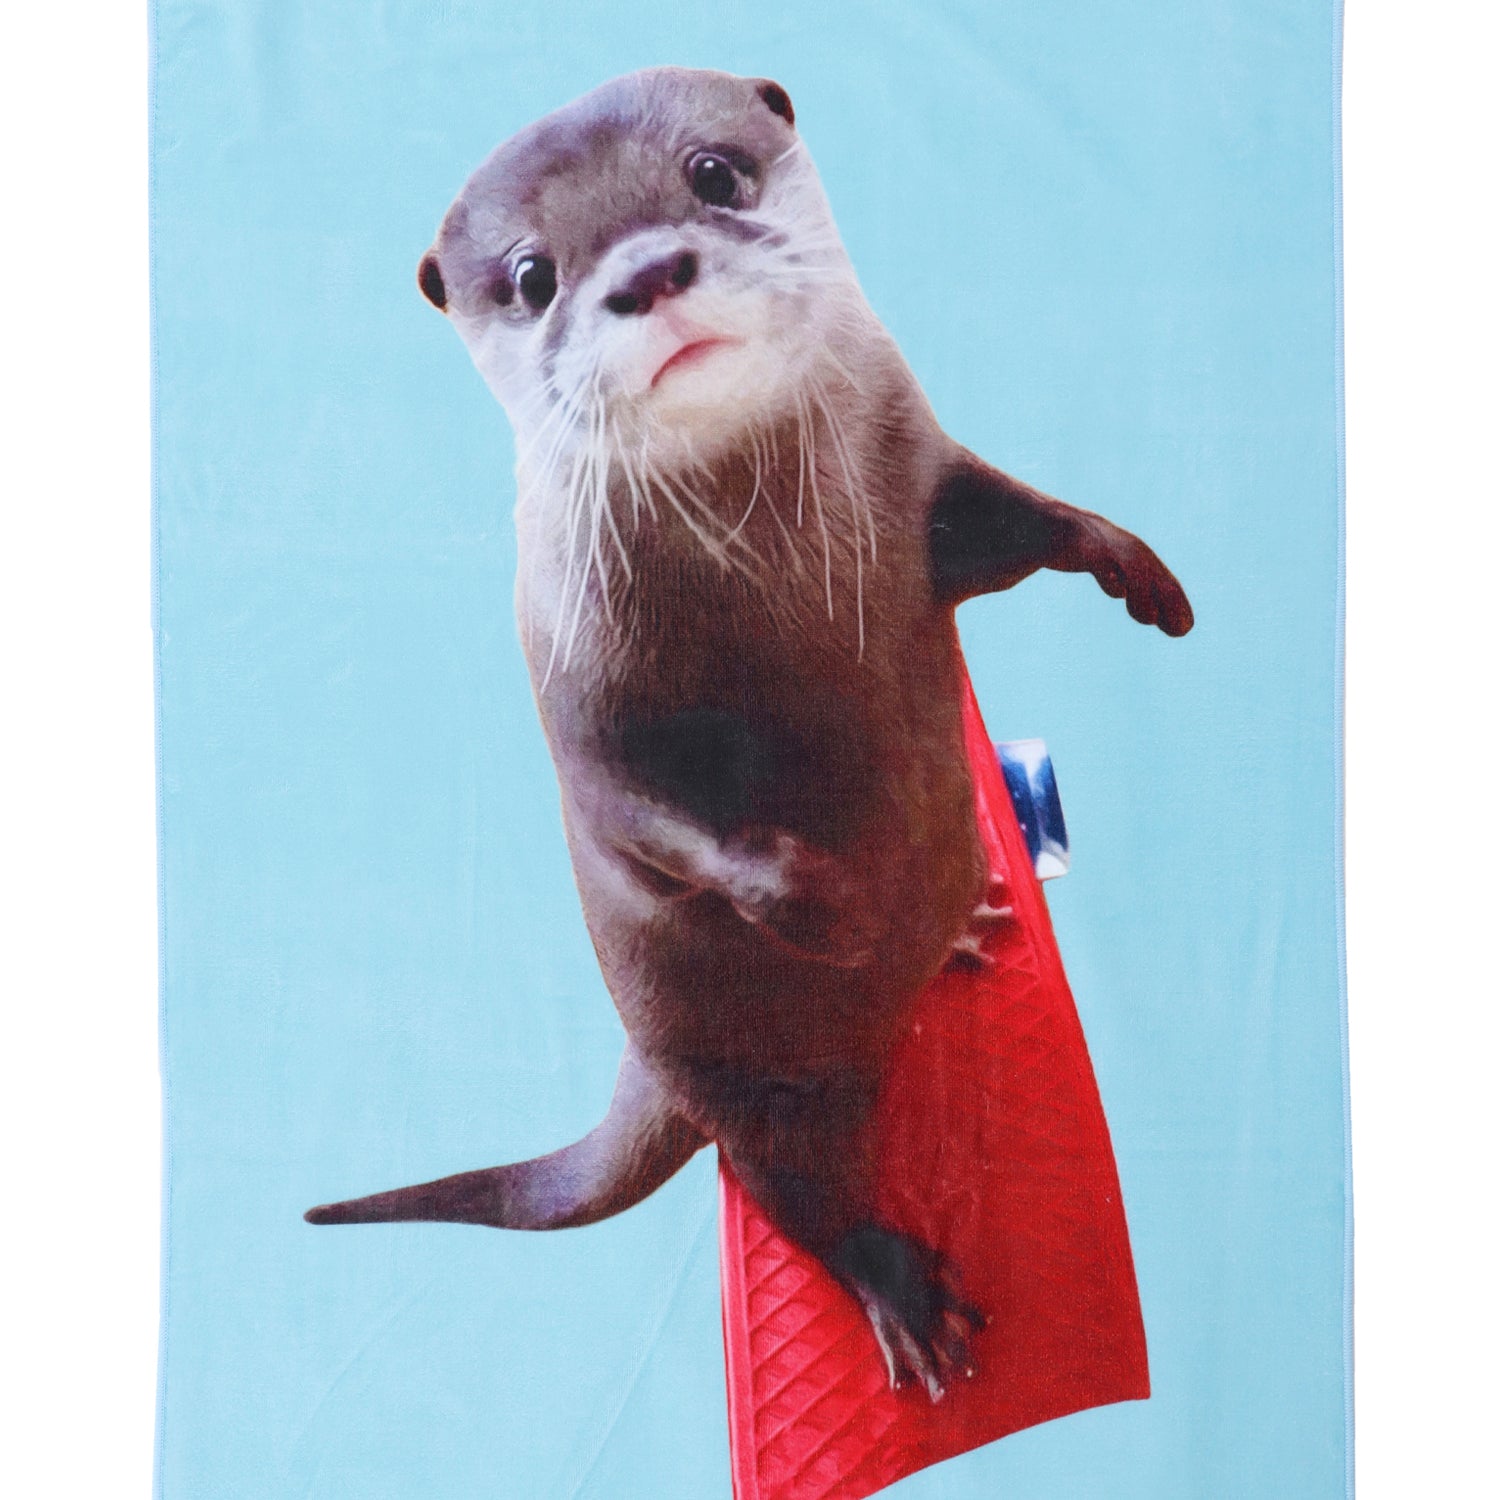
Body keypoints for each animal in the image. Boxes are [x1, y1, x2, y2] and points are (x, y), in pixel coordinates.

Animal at [306, 66, 1193, 1400]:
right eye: (532, 275)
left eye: (713, 173)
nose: (648, 273)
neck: (780, 574)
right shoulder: (580, 694)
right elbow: (650, 815)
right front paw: (830, 904)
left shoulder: (920, 475)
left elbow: (1010, 519)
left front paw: (1136, 569)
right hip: (755, 1083)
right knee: (788, 1192)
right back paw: (900, 1293)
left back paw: (962, 923)